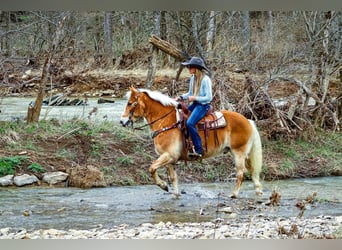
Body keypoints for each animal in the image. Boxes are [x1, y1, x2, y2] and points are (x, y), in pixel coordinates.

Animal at [119, 87, 264, 198]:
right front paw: (175, 194)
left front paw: (163, 186)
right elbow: (173, 177)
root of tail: (247, 120)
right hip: (245, 154)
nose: (122, 121)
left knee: (240, 173)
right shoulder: (169, 159)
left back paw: (234, 194)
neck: (166, 122)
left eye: (130, 103)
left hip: (238, 153)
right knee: (252, 170)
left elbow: (152, 168)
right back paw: (258, 191)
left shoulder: (168, 155)